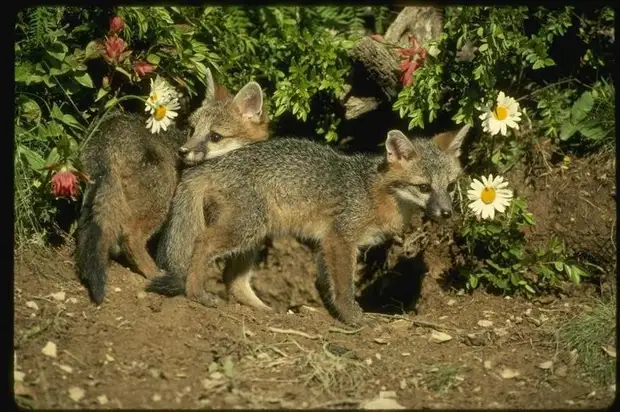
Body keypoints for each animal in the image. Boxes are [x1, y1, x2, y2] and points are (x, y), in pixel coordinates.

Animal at [75, 67, 268, 304]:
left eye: (215, 136)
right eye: (192, 130)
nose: (183, 152)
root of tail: (111, 127)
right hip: (162, 200)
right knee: (130, 236)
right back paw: (154, 272)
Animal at [148, 124, 472, 326]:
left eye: (449, 186)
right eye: (424, 187)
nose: (446, 212)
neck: (372, 190)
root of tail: (209, 166)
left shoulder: (325, 243)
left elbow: (326, 283)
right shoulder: (340, 239)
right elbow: (344, 286)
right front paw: (353, 317)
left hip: (253, 235)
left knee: (234, 280)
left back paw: (267, 311)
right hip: (245, 229)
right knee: (202, 243)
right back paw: (197, 294)